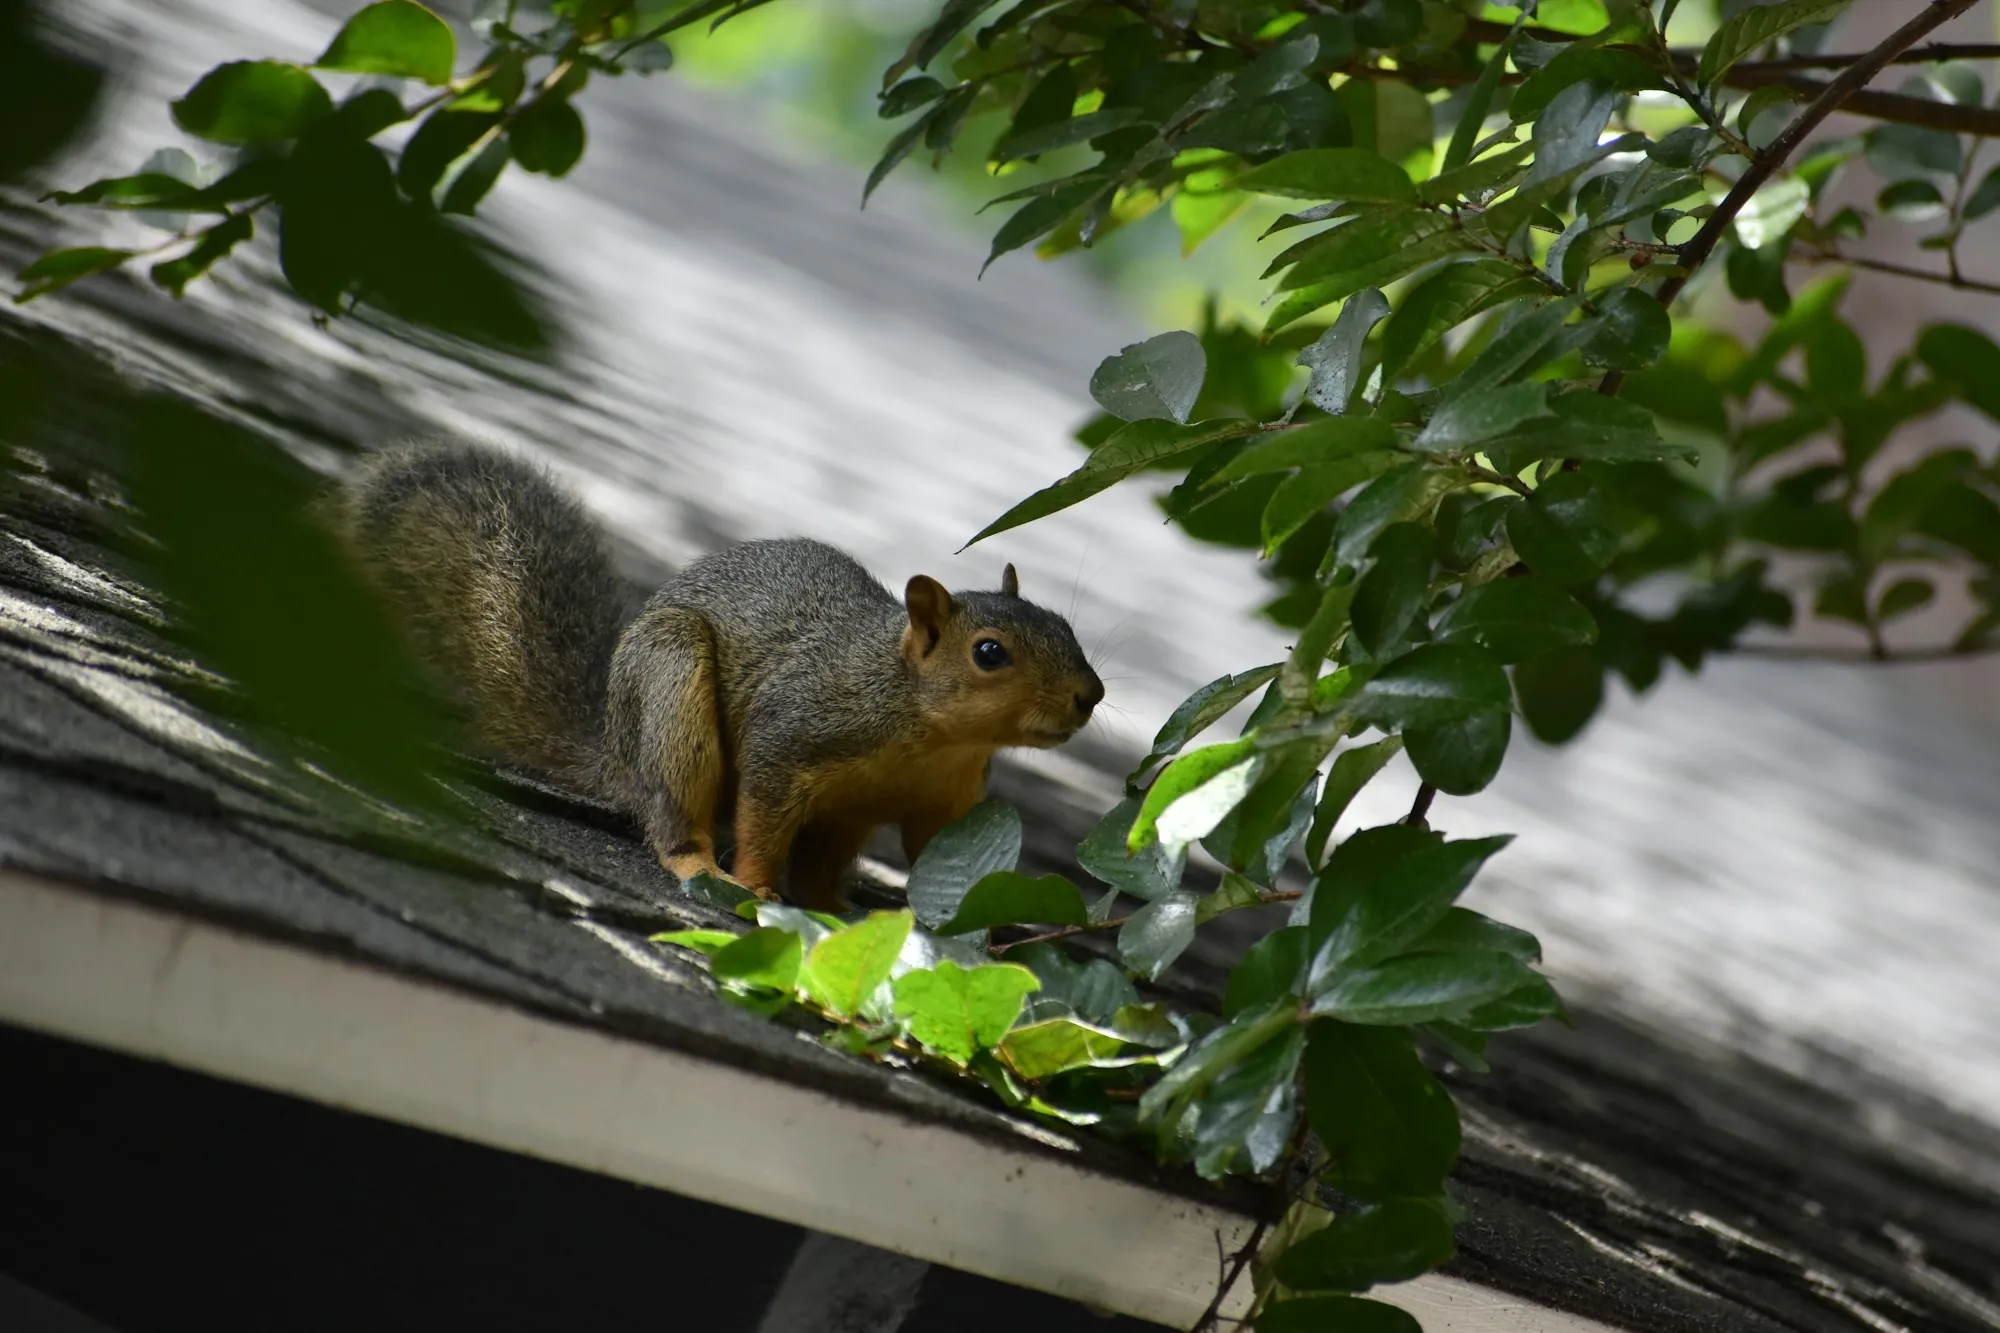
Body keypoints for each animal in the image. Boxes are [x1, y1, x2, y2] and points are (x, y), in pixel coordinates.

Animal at [329, 442, 1104, 911]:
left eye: (1066, 630)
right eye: (989, 653)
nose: (1089, 696)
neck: (928, 729)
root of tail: (615, 753)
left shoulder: (944, 802)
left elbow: (945, 854)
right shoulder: (794, 738)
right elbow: (763, 818)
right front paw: (755, 887)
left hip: (842, 817)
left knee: (820, 870)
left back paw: (833, 907)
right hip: (672, 694)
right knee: (676, 813)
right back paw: (702, 866)